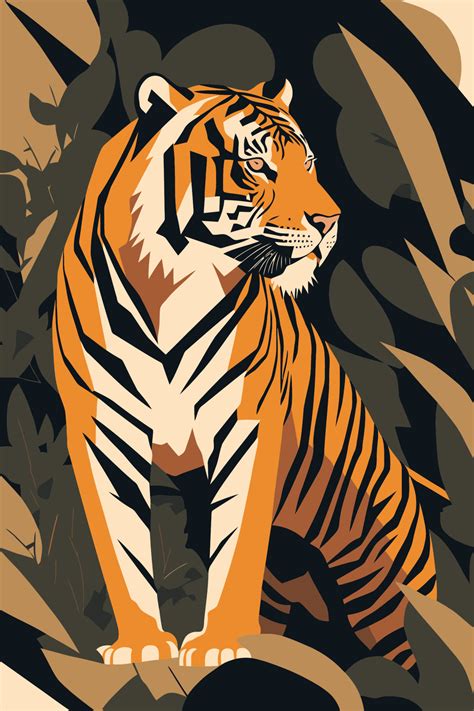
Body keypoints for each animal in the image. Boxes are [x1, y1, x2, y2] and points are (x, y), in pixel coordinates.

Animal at [53, 74, 448, 669]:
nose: (330, 222)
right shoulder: (104, 429)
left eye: (309, 163)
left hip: (389, 592)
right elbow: (122, 543)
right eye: (258, 165)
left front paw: (218, 645)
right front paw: (141, 646)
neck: (169, 282)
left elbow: (235, 543)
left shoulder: (244, 421)